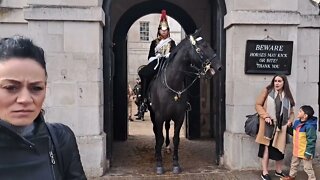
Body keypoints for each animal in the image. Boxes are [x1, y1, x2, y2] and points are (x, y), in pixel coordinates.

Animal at [148, 29, 221, 174]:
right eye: (204, 46)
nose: (219, 66)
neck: (172, 85)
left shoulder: (179, 116)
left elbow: (176, 139)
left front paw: (176, 164)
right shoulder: (159, 116)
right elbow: (159, 138)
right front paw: (159, 164)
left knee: (166, 129)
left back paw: (167, 148)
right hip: (154, 116)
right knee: (157, 133)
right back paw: (157, 153)